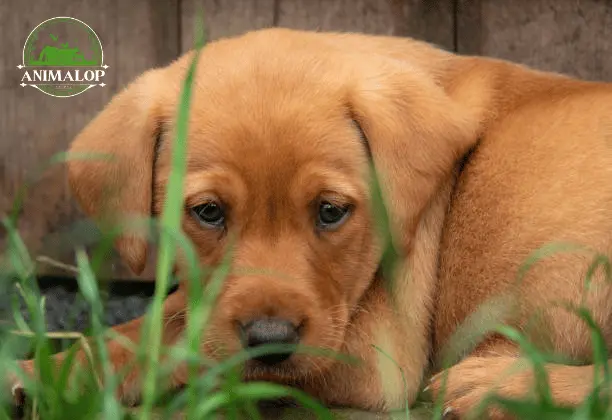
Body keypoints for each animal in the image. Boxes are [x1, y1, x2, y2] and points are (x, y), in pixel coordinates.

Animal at [7, 27, 612, 418]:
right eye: (208, 212)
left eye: (330, 211)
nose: (269, 341)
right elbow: (166, 322)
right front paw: (47, 372)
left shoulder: (376, 357)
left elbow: (170, 332)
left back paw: (500, 385)